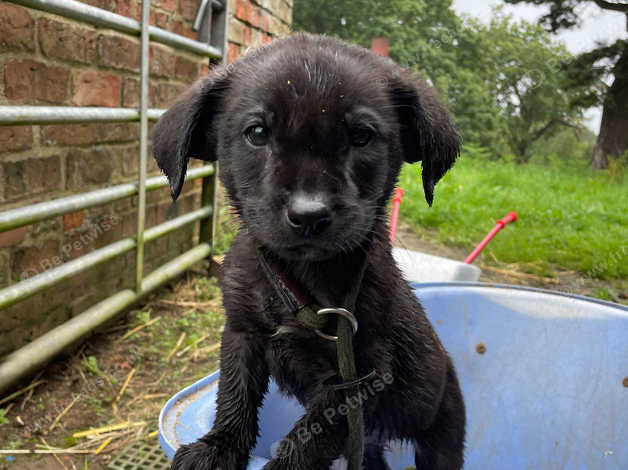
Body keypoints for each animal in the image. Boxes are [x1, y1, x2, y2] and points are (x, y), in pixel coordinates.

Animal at [153, 33, 466, 470]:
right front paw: (218, 447)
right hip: (368, 447)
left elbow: (308, 441)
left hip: (441, 435)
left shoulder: (359, 378)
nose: (309, 216)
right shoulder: (241, 333)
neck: (296, 283)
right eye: (257, 133)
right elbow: (234, 396)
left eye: (362, 137)